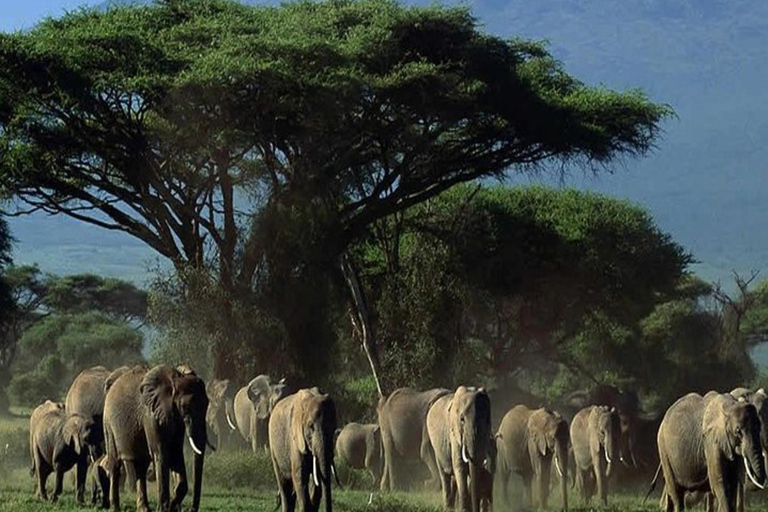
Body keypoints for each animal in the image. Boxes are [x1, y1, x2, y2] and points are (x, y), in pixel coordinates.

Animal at [103, 364, 213, 512]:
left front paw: (172, 506)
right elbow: (161, 454)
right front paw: (164, 509)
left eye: (207, 403)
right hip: (108, 424)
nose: (191, 509)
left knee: (141, 467)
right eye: (185, 407)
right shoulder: (150, 414)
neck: (174, 380)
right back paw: (115, 508)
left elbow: (176, 453)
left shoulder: (175, 419)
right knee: (115, 463)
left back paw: (143, 509)